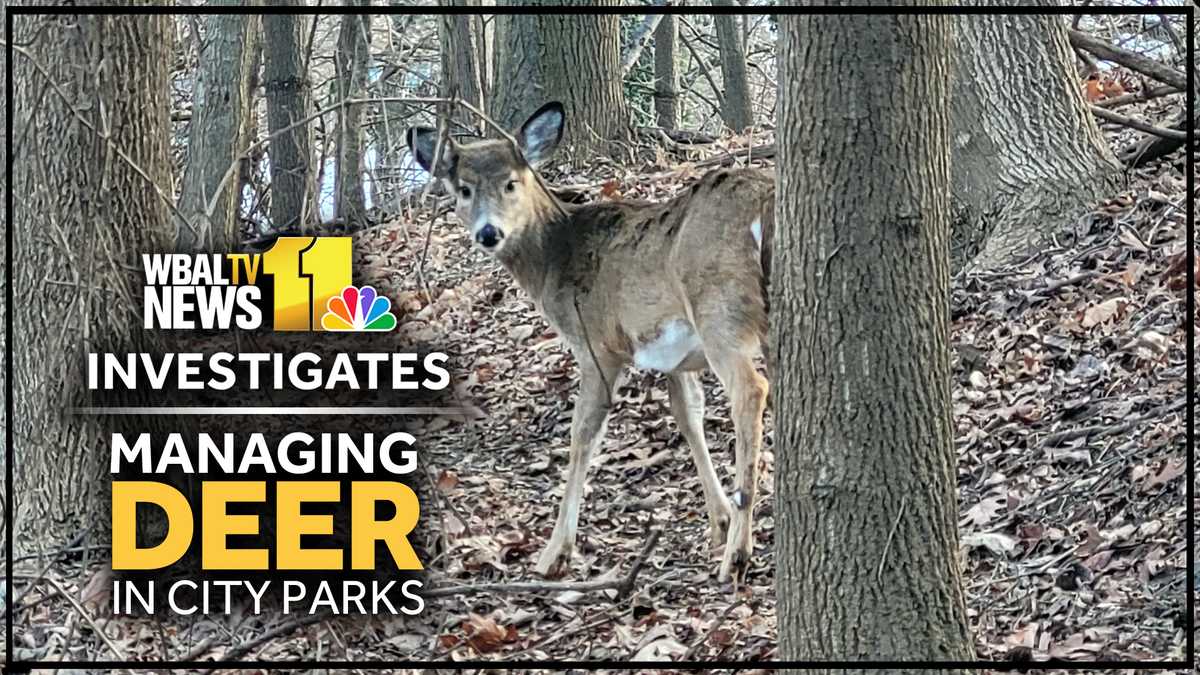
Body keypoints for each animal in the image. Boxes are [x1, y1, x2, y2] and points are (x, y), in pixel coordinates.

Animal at [407, 102, 774, 584]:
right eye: (464, 189)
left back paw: (738, 554)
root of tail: (764, 203)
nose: (488, 233)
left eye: (511, 182)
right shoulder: (672, 359)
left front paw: (554, 553)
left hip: (719, 311)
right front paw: (718, 520)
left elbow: (582, 436)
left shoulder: (596, 346)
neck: (555, 258)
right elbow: (688, 415)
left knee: (751, 391)